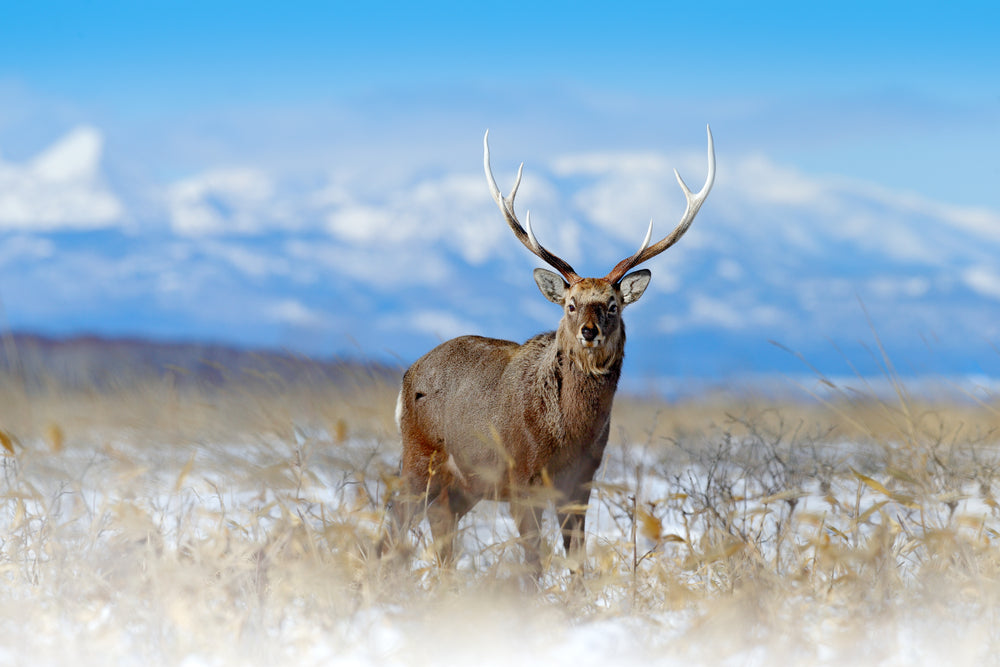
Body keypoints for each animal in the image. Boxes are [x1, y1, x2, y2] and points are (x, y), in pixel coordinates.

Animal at [382, 126, 715, 576]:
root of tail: (407, 377)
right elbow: (533, 565)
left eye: (613, 304)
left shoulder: (581, 484)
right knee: (392, 528)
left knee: (442, 531)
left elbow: (577, 564)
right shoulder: (522, 479)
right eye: (570, 304)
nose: (590, 331)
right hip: (419, 460)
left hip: (464, 485)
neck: (569, 435)